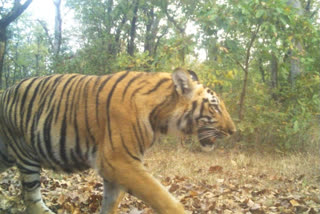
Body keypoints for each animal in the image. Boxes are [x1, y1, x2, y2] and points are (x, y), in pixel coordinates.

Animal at [0, 68, 235, 214]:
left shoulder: (117, 170)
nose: (233, 131)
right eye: (215, 107)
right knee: (31, 200)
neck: (161, 114)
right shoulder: (118, 161)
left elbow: (110, 204)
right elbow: (163, 197)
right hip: (26, 155)